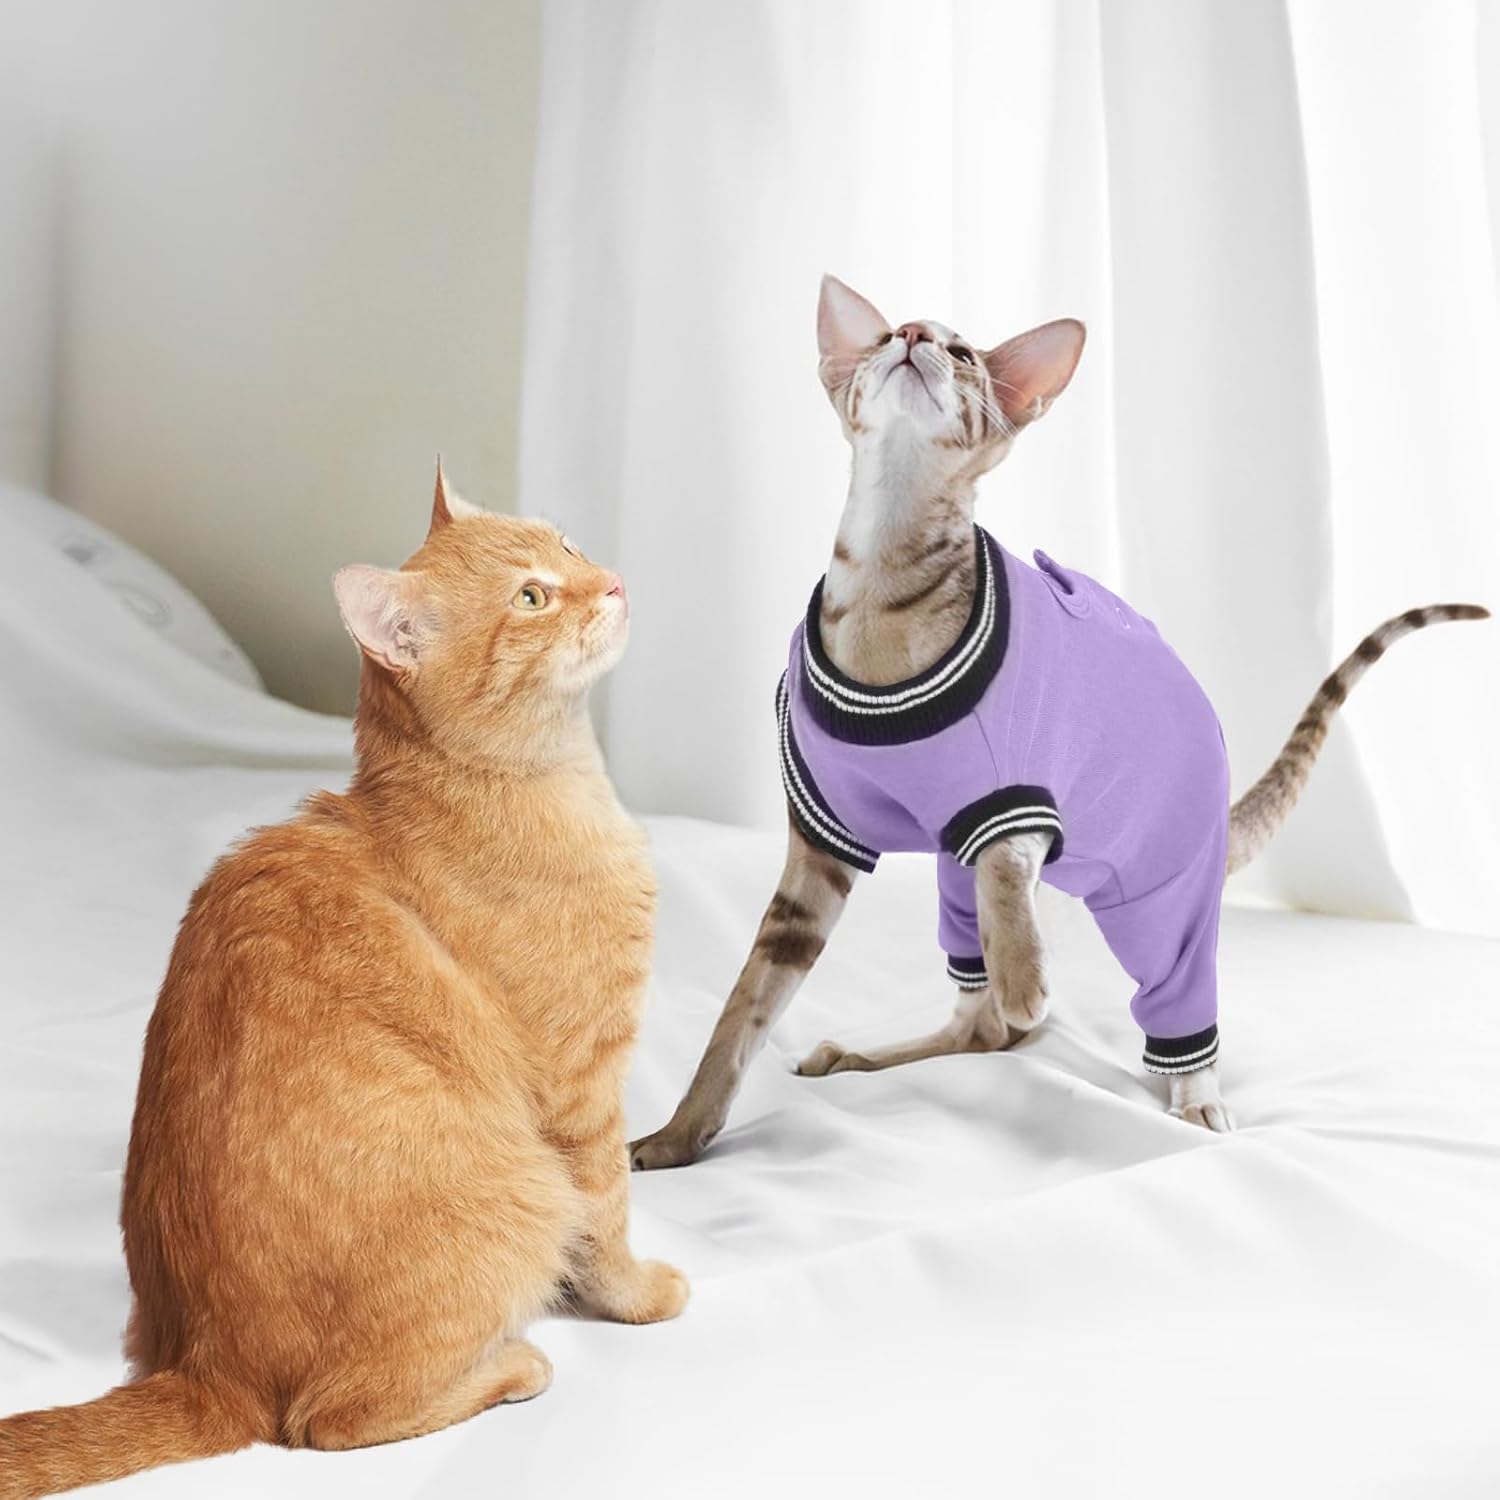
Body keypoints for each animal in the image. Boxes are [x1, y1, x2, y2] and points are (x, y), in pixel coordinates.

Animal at [0, 467, 687, 1498]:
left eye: (565, 545)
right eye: (531, 597)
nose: (608, 581)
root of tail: (207, 1367)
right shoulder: (583, 1087)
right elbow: (606, 1215)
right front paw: (638, 1296)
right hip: (516, 1198)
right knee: (328, 1421)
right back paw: (514, 1363)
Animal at [629, 275, 1488, 1168]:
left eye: (963, 352)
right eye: (880, 341)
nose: (911, 334)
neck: (877, 588)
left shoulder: (1017, 799)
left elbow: (1009, 871)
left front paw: (1027, 976)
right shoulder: (821, 839)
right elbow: (744, 1008)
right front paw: (675, 1137)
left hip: (1170, 886)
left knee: (1163, 992)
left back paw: (1191, 1096)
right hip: (952, 877)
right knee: (983, 1028)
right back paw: (876, 1050)